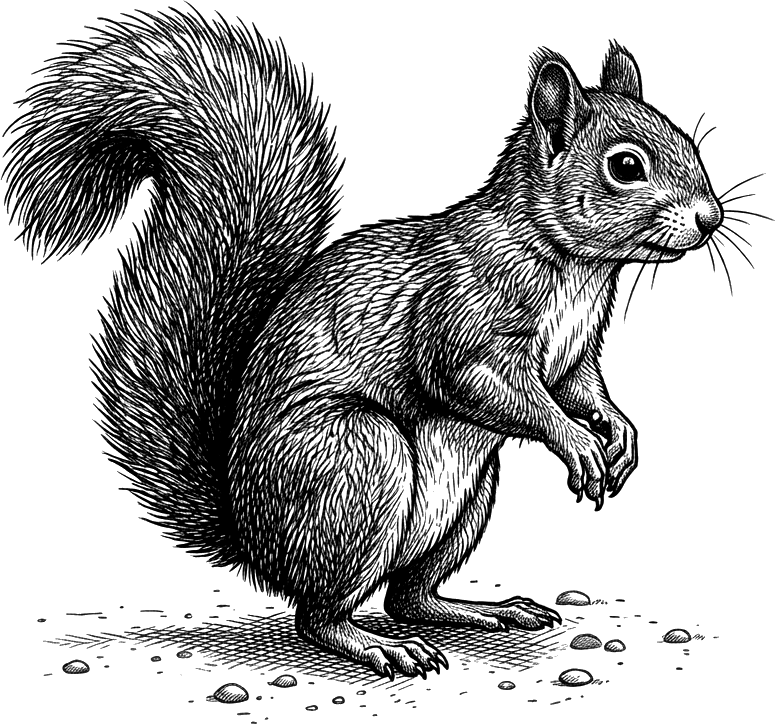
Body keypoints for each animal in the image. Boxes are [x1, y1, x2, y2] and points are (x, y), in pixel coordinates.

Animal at [5, 10, 723, 678]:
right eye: (625, 166)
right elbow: (477, 383)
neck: (572, 263)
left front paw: (619, 432)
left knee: (408, 595)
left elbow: (582, 388)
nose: (710, 218)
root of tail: (254, 541)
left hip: (469, 499)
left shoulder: (573, 351)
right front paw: (576, 443)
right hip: (359, 468)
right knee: (320, 614)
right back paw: (382, 648)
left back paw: (486, 611)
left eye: (689, 141)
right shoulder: (459, 318)